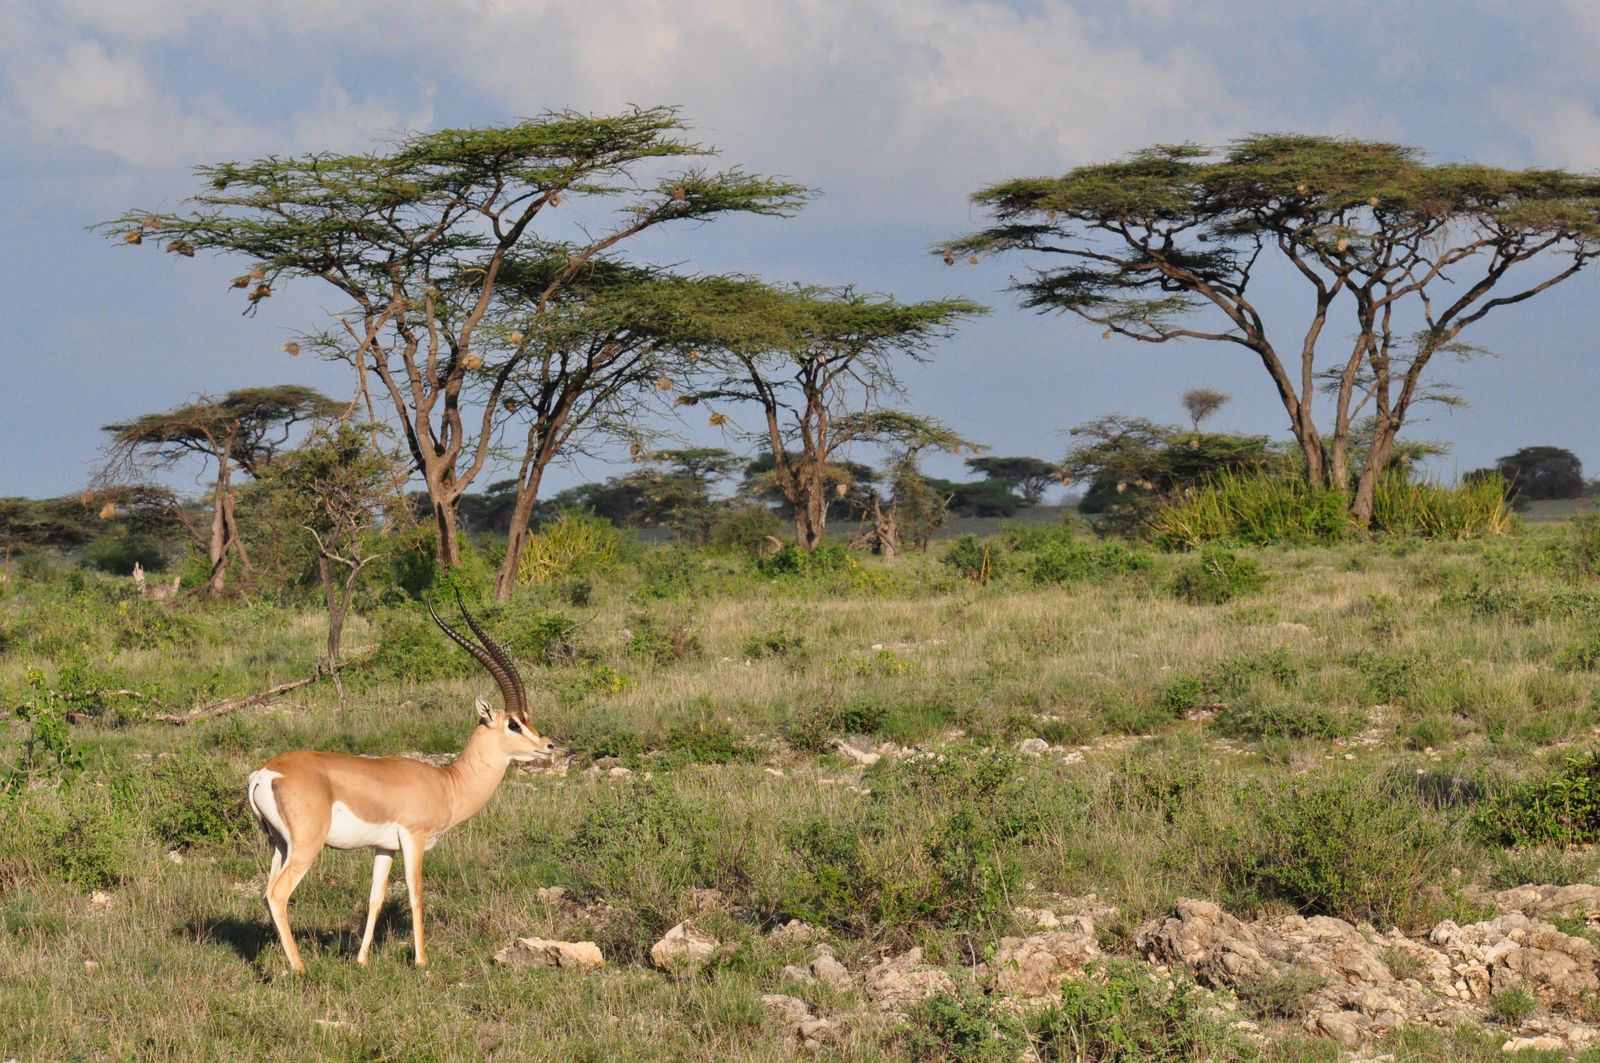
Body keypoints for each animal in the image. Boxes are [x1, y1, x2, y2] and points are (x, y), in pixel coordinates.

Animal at [245, 595, 554, 971]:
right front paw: (422, 962)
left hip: (278, 844)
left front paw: (362, 960)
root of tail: (266, 772)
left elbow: (376, 897)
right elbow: (415, 892)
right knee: (278, 893)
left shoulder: (385, 848)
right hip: (306, 846)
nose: (548, 746)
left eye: (526, 719)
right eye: (513, 724)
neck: (446, 783)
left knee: (267, 892)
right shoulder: (414, 839)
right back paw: (300, 968)